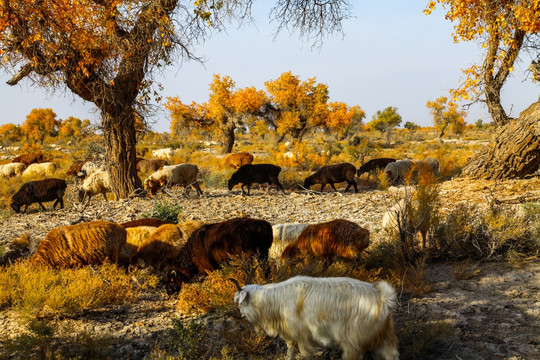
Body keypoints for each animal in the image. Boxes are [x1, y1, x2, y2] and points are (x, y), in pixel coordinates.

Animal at [233, 276, 400, 360]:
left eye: (240, 303)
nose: (241, 316)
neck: (277, 301)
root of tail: (383, 299)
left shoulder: (303, 337)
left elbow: (304, 355)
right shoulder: (291, 336)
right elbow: (290, 352)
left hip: (353, 343)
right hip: (384, 339)